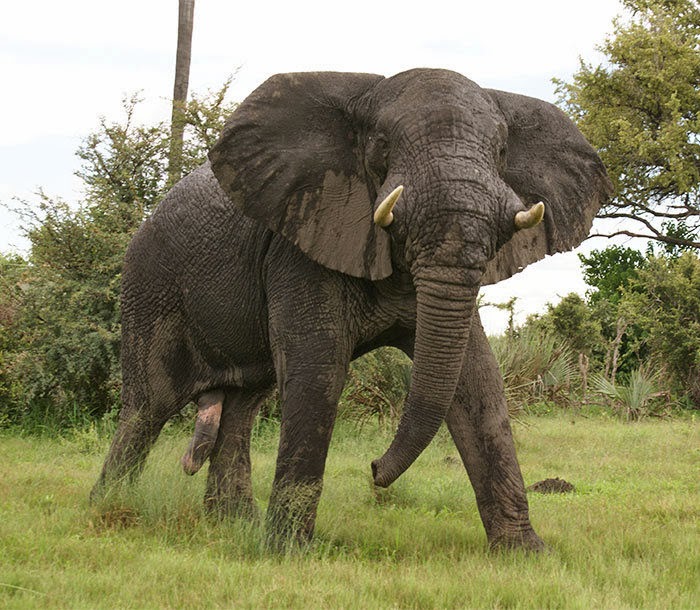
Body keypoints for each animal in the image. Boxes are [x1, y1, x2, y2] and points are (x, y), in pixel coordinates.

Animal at [93, 69, 612, 548]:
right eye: (382, 145)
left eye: (502, 152)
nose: (375, 469)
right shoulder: (302, 239)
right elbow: (319, 368)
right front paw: (287, 553)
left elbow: (476, 379)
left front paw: (524, 553)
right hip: (149, 287)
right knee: (146, 408)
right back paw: (110, 510)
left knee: (241, 407)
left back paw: (234, 524)